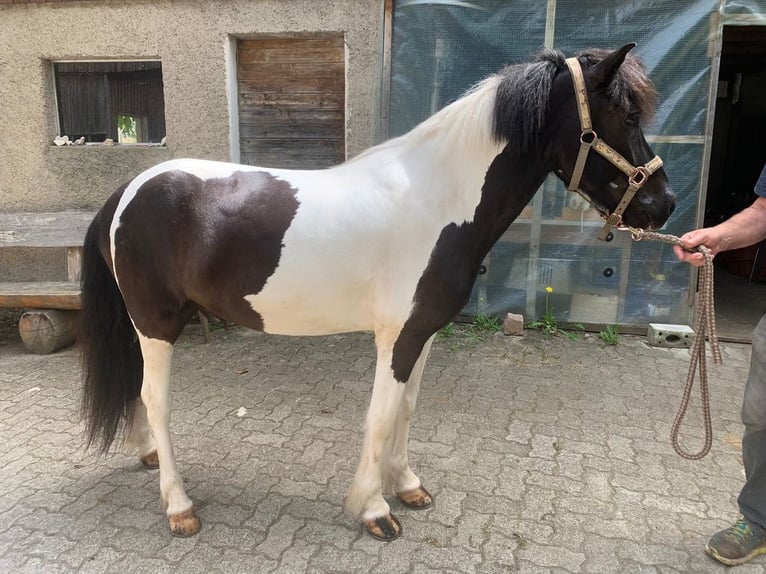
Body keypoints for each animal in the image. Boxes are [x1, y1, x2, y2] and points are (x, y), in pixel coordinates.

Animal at [79, 43, 675, 541]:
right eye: (626, 116)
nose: (663, 205)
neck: (438, 199)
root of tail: (128, 190)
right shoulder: (397, 336)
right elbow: (382, 416)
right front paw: (373, 509)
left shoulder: (423, 333)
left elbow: (406, 409)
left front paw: (406, 485)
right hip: (157, 323)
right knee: (156, 399)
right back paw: (179, 506)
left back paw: (148, 458)